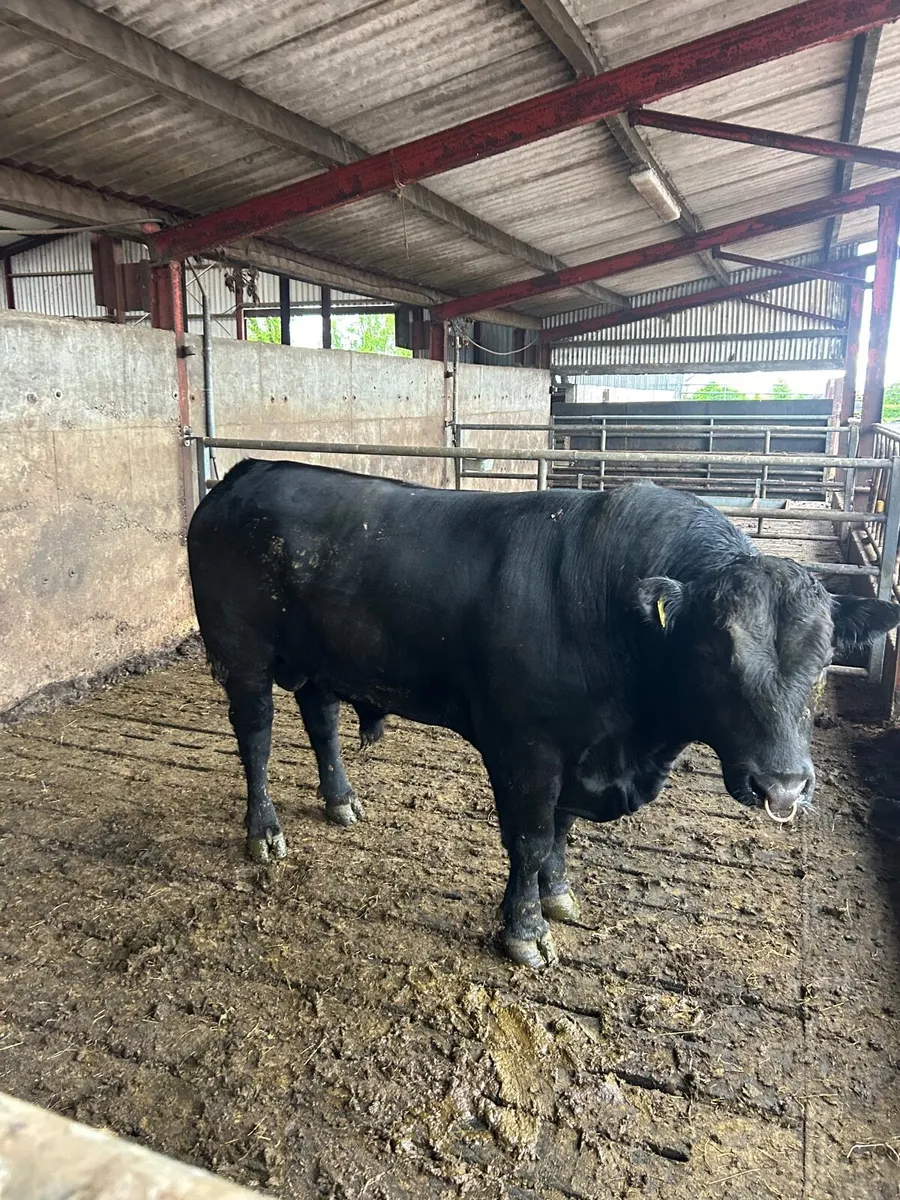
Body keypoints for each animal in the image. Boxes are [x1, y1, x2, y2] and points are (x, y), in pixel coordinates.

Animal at [187, 460, 899, 969]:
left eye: (824, 659)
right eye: (716, 654)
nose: (784, 786)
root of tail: (249, 471)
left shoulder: (579, 751)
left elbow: (560, 831)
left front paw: (558, 896)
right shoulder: (526, 748)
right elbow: (528, 839)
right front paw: (523, 930)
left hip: (319, 660)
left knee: (321, 722)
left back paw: (341, 800)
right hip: (241, 653)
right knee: (256, 738)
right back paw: (264, 832)